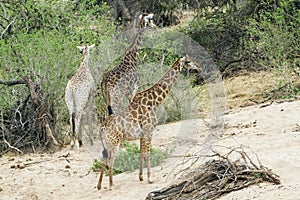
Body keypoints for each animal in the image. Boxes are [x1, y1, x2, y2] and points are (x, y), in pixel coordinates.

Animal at [97, 55, 203, 191]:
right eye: (188, 62)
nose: (199, 68)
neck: (153, 102)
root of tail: (102, 128)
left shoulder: (142, 133)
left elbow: (141, 152)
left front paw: (141, 177)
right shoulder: (149, 130)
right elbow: (148, 153)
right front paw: (150, 179)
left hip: (107, 142)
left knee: (104, 158)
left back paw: (99, 185)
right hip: (115, 141)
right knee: (110, 160)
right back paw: (111, 186)